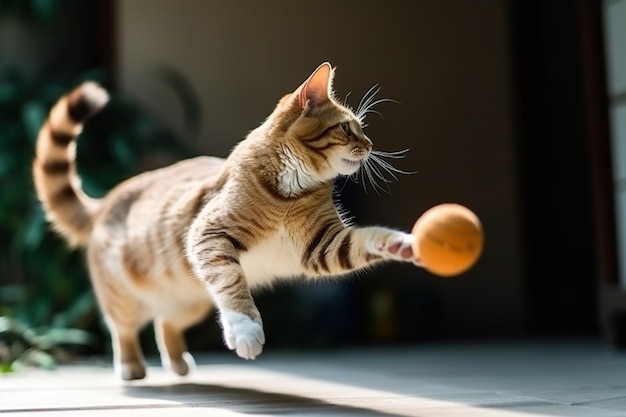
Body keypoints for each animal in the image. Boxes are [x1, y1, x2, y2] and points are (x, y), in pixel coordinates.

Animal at [31, 62, 416, 380]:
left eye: (360, 130)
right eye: (347, 129)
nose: (370, 144)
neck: (293, 189)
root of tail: (107, 200)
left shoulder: (321, 245)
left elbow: (368, 239)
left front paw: (403, 243)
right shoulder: (210, 235)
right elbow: (233, 286)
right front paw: (246, 330)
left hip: (191, 302)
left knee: (165, 323)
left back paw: (179, 363)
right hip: (125, 297)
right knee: (123, 330)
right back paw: (131, 367)